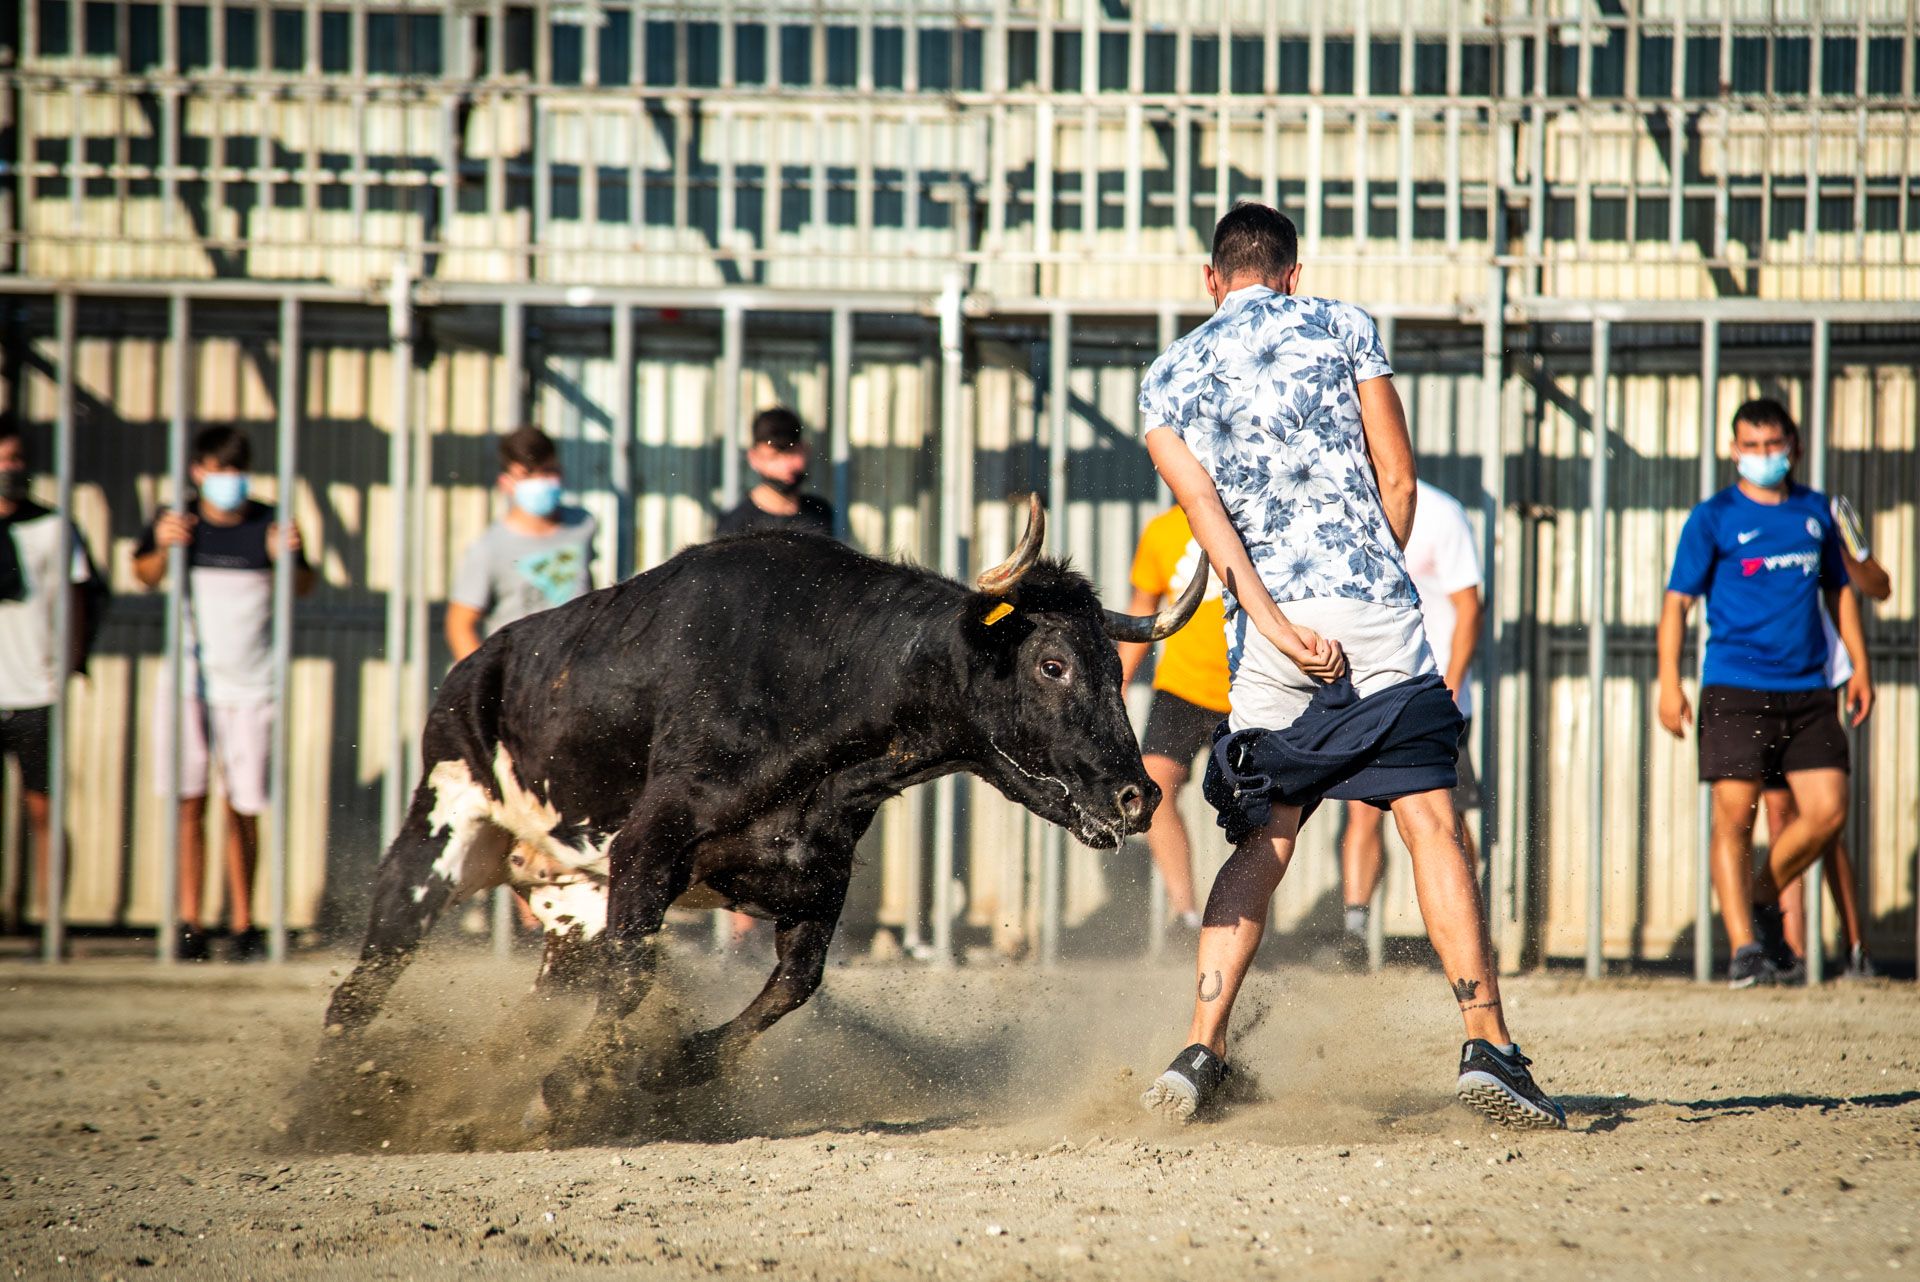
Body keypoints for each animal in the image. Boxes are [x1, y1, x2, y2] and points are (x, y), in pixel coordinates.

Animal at [326, 498, 1198, 1120]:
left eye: (1115, 667)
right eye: (1052, 664)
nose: (1138, 795)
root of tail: (477, 666)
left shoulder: (814, 878)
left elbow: (792, 987)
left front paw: (668, 1066)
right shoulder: (648, 848)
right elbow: (635, 975)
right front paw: (572, 1088)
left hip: (569, 907)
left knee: (536, 1004)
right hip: (436, 834)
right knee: (362, 985)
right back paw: (336, 1096)